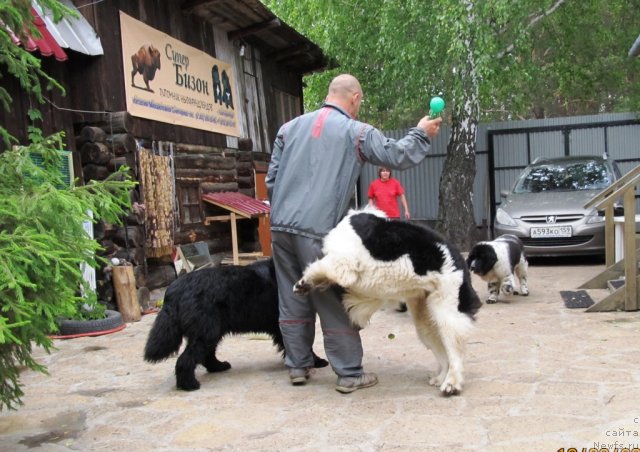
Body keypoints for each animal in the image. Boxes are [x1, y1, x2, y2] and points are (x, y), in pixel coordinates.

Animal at [143, 260, 328, 390]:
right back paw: (189, 385)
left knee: (207, 354)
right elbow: (304, 345)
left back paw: (218, 367)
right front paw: (316, 361)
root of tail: (174, 289)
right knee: (186, 359)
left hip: (212, 331)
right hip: (207, 332)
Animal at [294, 208, 480, 396]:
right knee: (443, 353)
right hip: (426, 322)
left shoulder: (345, 262)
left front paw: (303, 283)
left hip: (447, 314)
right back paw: (441, 378)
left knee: (455, 353)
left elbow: (320, 267)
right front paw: (308, 284)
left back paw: (452, 383)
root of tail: (460, 263)